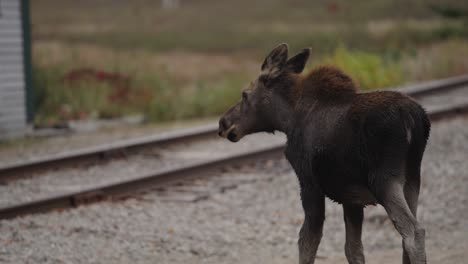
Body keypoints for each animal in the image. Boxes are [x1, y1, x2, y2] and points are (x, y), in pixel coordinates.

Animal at [218, 44, 430, 262]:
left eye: (244, 94)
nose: (223, 123)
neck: (287, 120)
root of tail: (416, 119)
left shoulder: (309, 184)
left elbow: (307, 241)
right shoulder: (352, 198)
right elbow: (353, 249)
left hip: (384, 180)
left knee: (413, 232)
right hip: (412, 179)